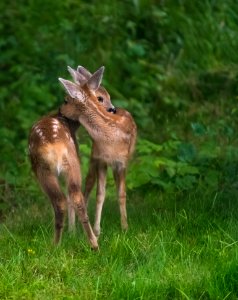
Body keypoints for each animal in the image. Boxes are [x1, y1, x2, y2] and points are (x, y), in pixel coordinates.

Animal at [28, 67, 116, 250]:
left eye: (66, 99)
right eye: (101, 97)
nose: (112, 109)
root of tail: (55, 146)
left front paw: (71, 233)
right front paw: (72, 233)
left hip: (44, 168)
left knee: (60, 200)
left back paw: (56, 244)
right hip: (72, 163)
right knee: (75, 196)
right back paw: (93, 244)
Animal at [65, 65, 137, 237]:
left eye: (68, 100)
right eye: (100, 98)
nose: (112, 109)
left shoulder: (122, 163)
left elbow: (122, 194)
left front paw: (125, 227)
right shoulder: (101, 160)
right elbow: (100, 194)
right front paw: (97, 230)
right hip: (93, 157)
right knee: (88, 183)